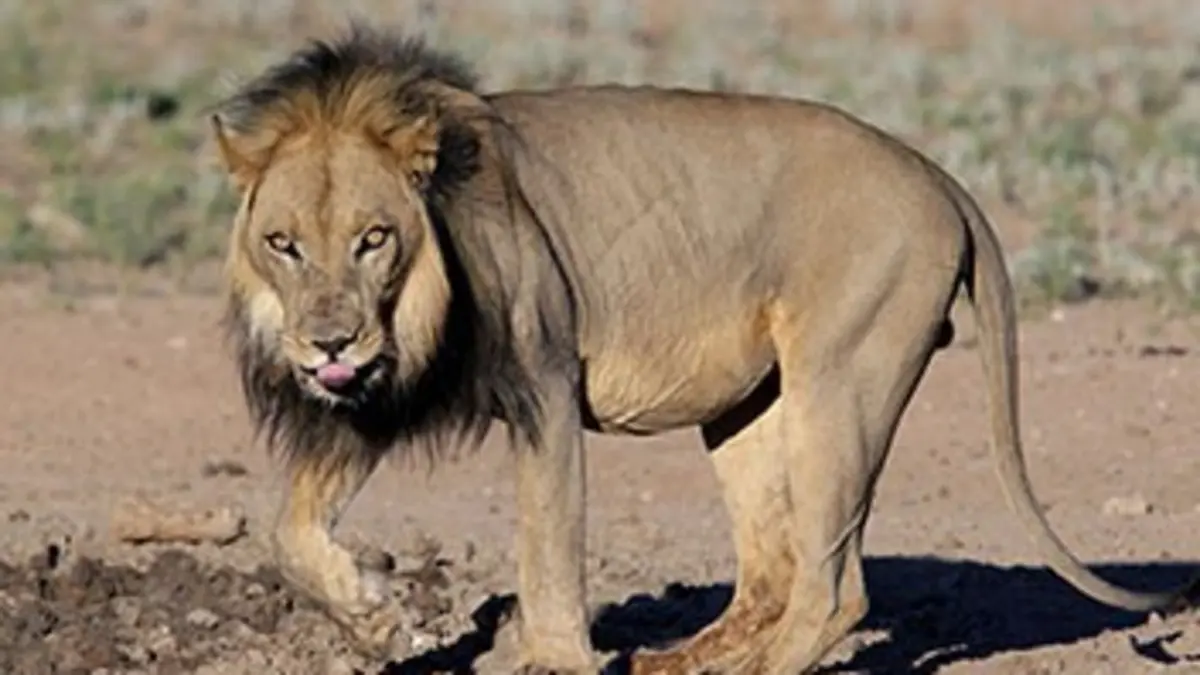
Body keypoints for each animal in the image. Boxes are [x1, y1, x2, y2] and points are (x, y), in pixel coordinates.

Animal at [207, 24, 1200, 675]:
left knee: (833, 587)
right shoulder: (373, 399)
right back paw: (688, 660)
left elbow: (548, 548)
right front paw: (374, 621)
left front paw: (552, 656)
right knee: (770, 571)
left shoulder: (544, 385)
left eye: (373, 238)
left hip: (840, 383)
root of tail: (936, 173)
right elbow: (288, 528)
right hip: (746, 408)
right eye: (284, 243)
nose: (328, 340)